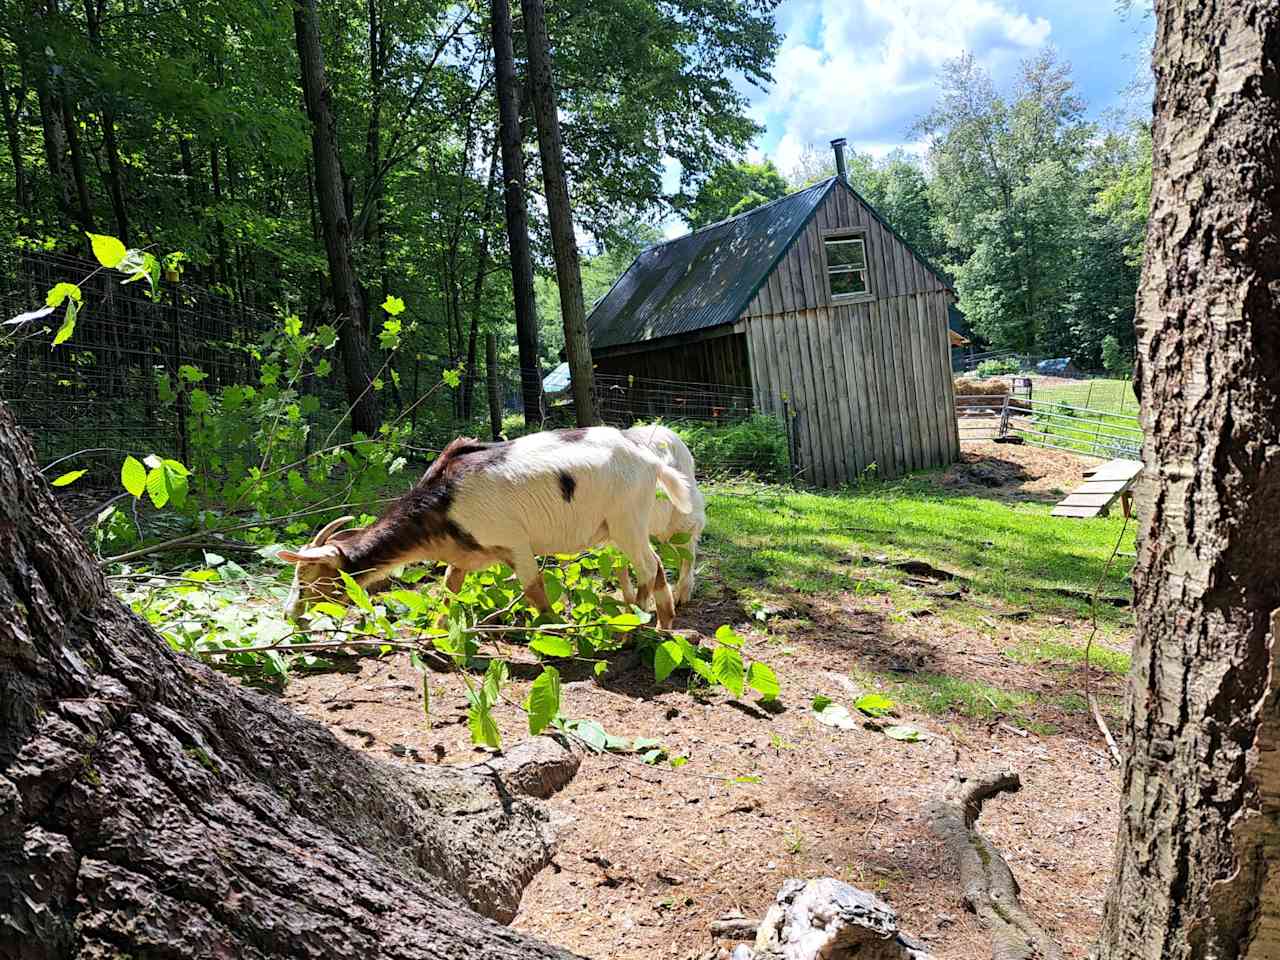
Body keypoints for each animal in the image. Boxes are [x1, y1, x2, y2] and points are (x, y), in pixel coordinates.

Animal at [279, 427, 696, 632]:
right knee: (651, 566)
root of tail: (649, 460)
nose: (289, 614)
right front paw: (437, 633)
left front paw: (555, 631)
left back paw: (650, 621)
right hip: (619, 528)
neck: (444, 500)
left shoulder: (514, 544)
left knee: (651, 566)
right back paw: (653, 619)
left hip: (628, 522)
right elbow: (448, 591)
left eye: (308, 578)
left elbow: (535, 591)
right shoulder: (466, 555)